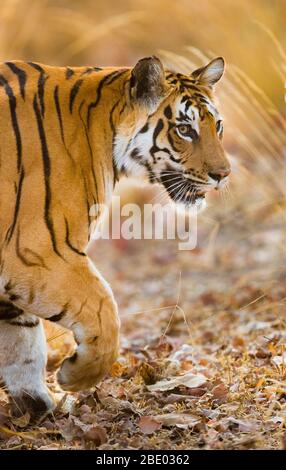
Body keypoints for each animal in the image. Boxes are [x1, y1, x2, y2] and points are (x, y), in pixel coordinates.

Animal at [0, 56, 230, 418]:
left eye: (217, 125)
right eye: (185, 129)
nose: (223, 175)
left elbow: (21, 339)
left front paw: (38, 405)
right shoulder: (38, 251)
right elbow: (104, 311)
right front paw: (75, 377)